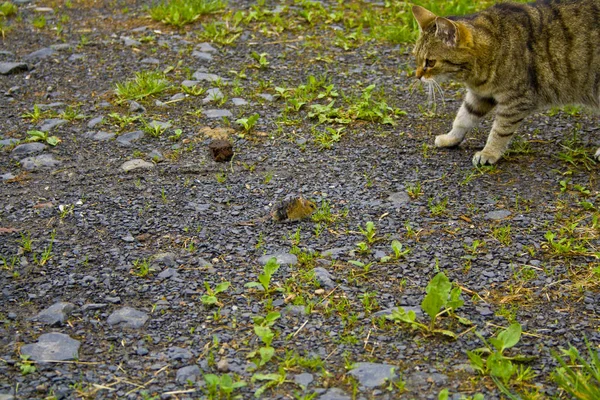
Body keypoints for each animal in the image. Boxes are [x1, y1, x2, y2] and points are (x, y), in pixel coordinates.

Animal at [412, 0, 600, 166]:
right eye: (416, 57)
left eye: (430, 62)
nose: (417, 76)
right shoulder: (480, 95)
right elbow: (463, 118)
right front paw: (451, 138)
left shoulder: (516, 101)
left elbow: (499, 131)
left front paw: (488, 153)